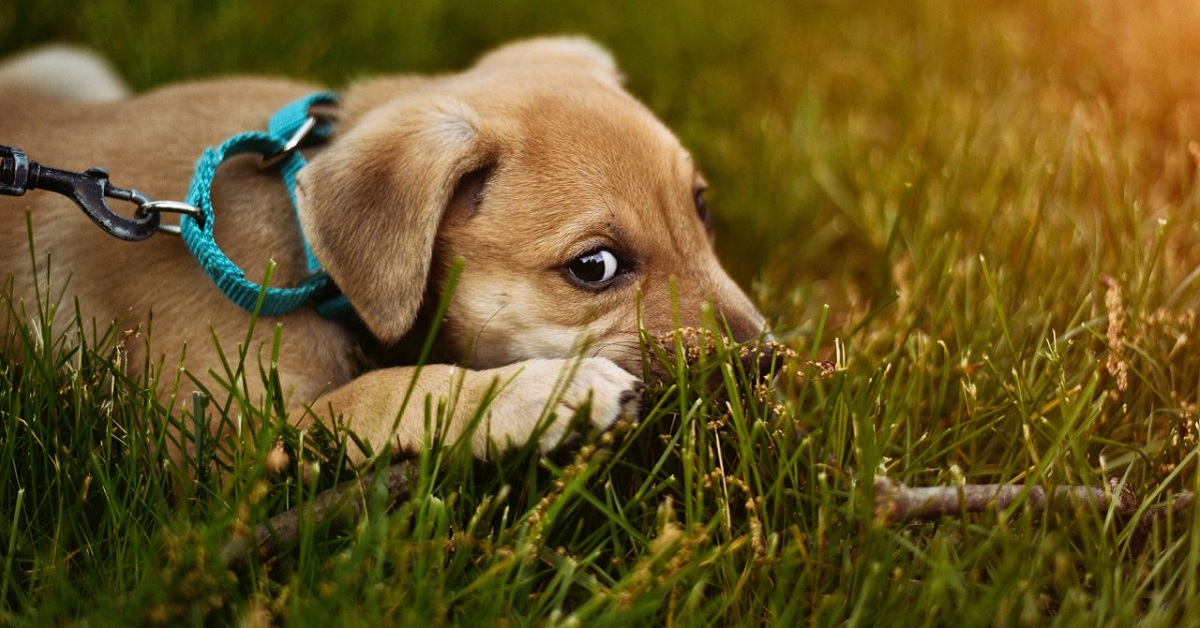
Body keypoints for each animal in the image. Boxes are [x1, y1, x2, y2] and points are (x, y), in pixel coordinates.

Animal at [0, 36, 768, 463]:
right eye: (595, 267)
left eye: (701, 206)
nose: (764, 364)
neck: (304, 248)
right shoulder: (221, 443)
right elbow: (387, 391)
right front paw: (545, 394)